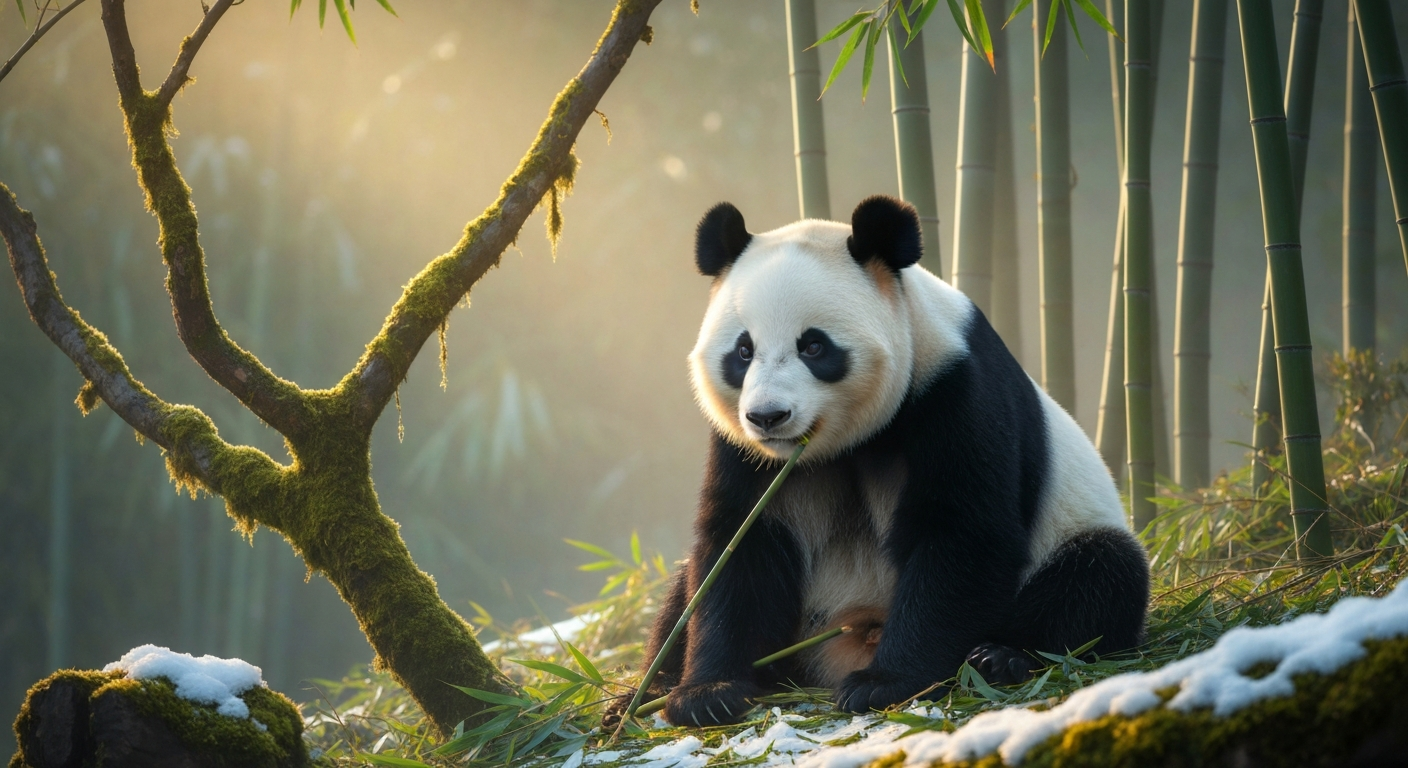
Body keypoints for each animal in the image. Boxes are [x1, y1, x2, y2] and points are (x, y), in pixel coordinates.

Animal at [637, 195, 1149, 727]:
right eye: (743, 351)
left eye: (813, 345)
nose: (767, 416)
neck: (840, 445)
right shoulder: (745, 454)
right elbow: (739, 550)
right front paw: (708, 693)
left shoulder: (951, 390)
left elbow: (959, 533)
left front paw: (883, 684)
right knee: (679, 595)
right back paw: (645, 691)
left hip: (1071, 529)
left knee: (1096, 580)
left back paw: (1002, 657)